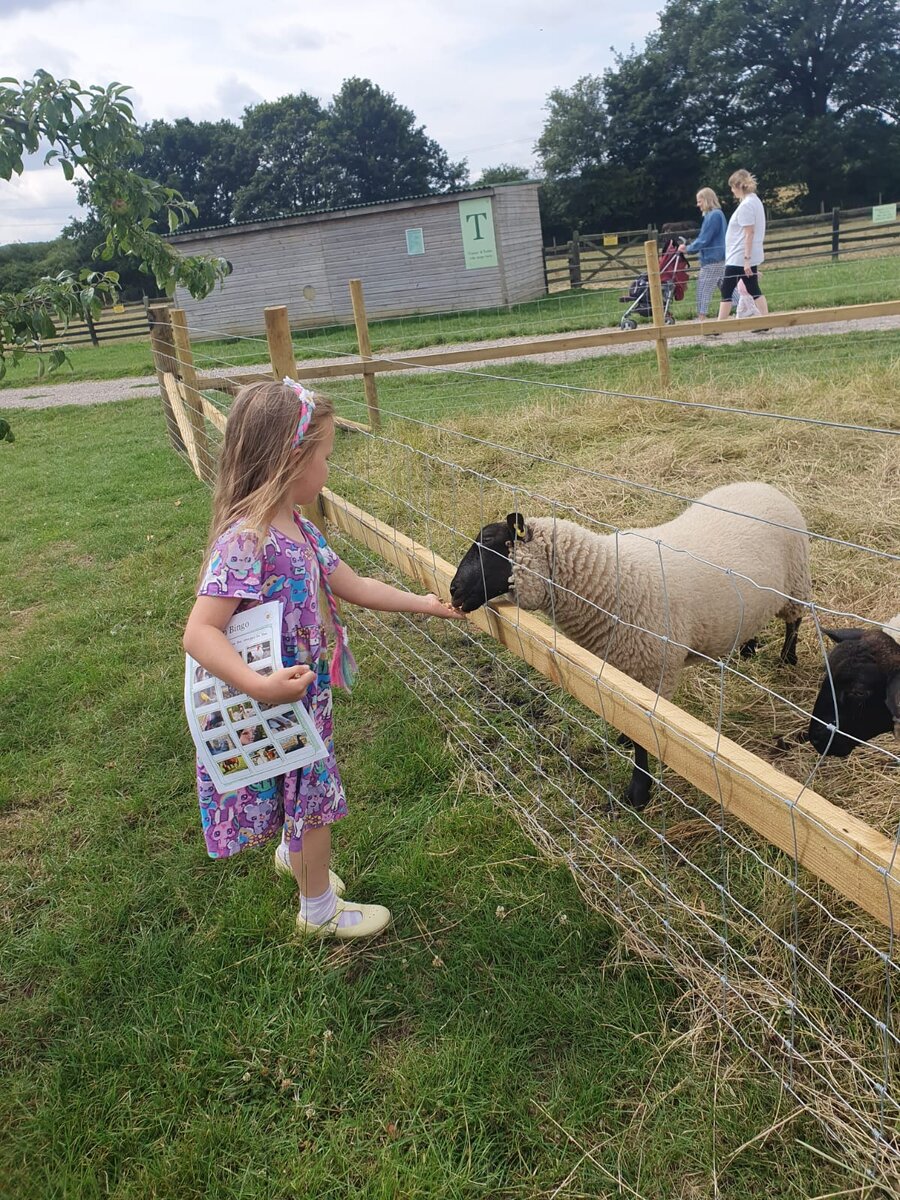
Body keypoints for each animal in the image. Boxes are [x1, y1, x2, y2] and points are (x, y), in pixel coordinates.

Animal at [453, 480, 816, 806]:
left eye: (491, 544)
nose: (454, 591)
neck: (609, 580)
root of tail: (764, 486)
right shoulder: (622, 669)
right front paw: (624, 740)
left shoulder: (653, 673)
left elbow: (645, 740)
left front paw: (639, 793)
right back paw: (747, 646)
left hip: (796, 582)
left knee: (794, 621)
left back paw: (786, 658)